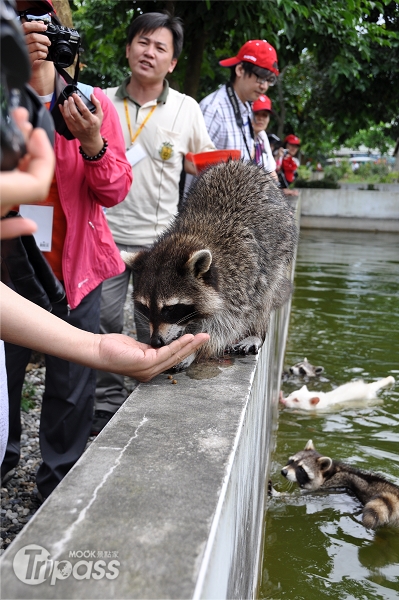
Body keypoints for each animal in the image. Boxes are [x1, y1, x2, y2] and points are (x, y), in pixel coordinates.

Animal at [123, 158, 298, 370]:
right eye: (146, 307)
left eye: (170, 308)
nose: (156, 342)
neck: (191, 236)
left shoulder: (240, 281)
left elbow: (226, 326)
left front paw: (196, 349)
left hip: (281, 247)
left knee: (265, 297)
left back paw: (256, 333)